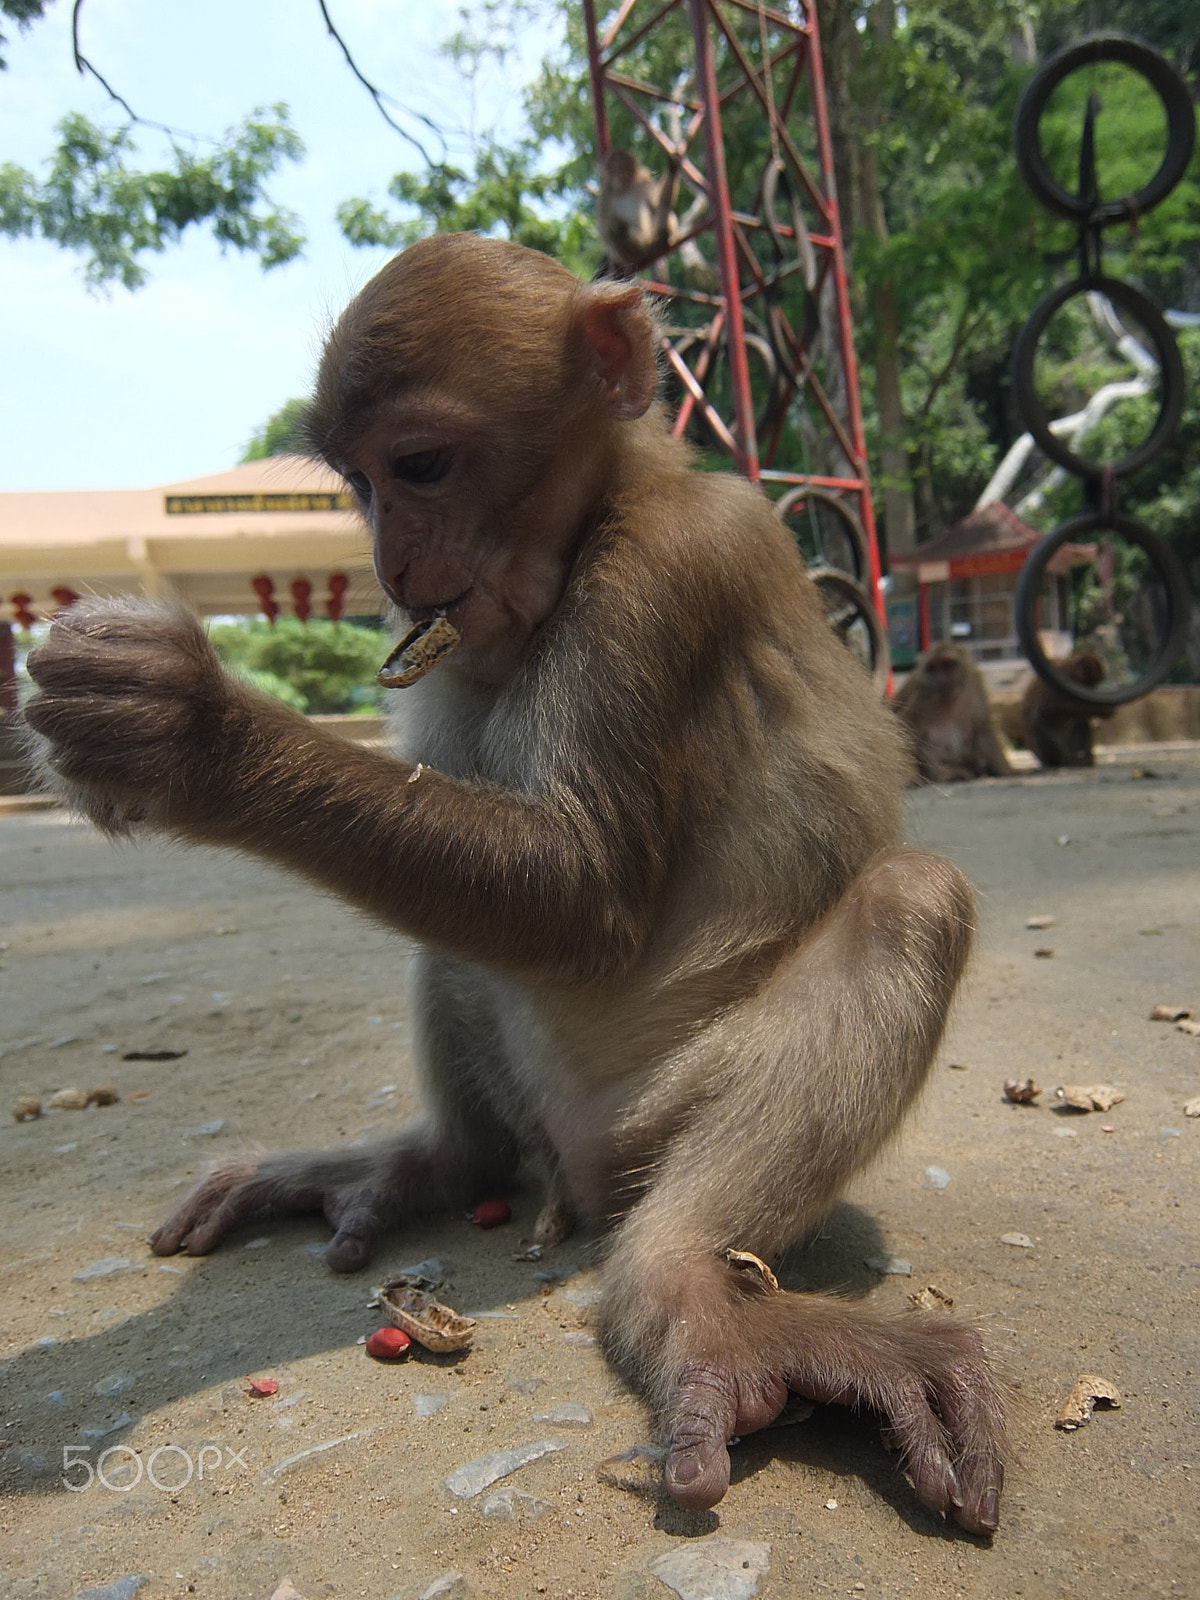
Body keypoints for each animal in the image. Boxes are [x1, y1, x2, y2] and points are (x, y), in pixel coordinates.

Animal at [25, 232, 1004, 1529]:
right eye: (357, 482)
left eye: (421, 466)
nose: (388, 560)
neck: (602, 516)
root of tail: (568, 1162)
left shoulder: (669, 572)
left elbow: (580, 893)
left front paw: (190, 732)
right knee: (454, 937)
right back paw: (440, 1160)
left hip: (637, 1127)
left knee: (911, 901)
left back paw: (679, 1283)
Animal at [896, 640, 1017, 784]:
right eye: (932, 667)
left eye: (946, 664)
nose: (940, 678)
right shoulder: (923, 694)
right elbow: (905, 727)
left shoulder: (974, 681)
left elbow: (983, 727)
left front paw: (1006, 770)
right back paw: (945, 774)